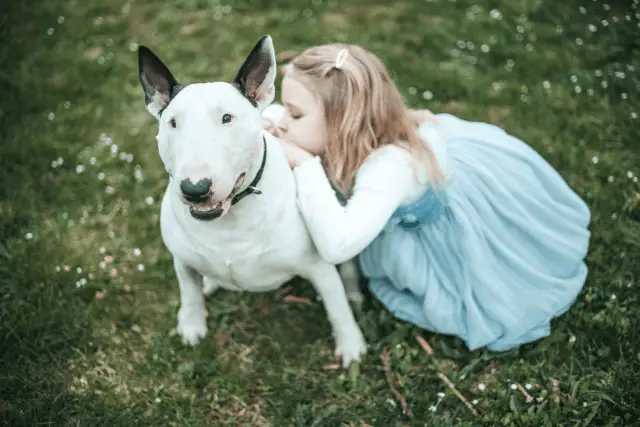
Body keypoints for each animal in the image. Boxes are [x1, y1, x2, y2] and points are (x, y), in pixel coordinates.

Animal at [138, 35, 368, 368]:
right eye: (172, 123)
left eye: (227, 118)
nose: (195, 189)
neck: (231, 220)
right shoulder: (182, 261)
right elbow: (189, 294)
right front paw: (191, 326)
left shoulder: (318, 267)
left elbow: (337, 308)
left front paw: (352, 346)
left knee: (347, 266)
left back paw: (354, 295)